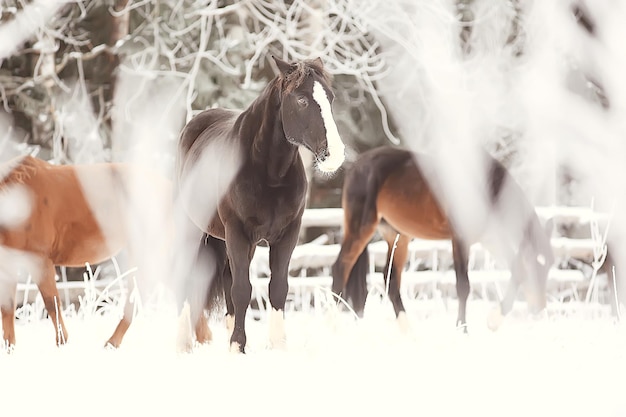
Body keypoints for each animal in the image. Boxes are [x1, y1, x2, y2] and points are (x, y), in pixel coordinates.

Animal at [0, 154, 171, 350]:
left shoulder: (40, 260)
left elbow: (52, 303)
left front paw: (62, 343)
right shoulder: (8, 263)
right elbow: (7, 306)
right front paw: (9, 348)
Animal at [177, 57, 346, 352]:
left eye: (330, 98)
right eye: (301, 100)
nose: (334, 155)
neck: (269, 174)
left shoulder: (286, 235)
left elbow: (277, 288)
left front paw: (276, 345)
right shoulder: (237, 232)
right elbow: (243, 289)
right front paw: (238, 346)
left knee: (228, 280)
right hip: (193, 228)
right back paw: (183, 342)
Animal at [332, 146, 552, 332]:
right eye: (535, 266)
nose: (540, 308)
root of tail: (356, 166)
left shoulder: (491, 240)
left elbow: (516, 270)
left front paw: (494, 320)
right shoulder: (461, 239)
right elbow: (463, 286)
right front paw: (462, 329)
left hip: (397, 236)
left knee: (390, 279)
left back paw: (409, 333)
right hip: (361, 229)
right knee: (341, 268)